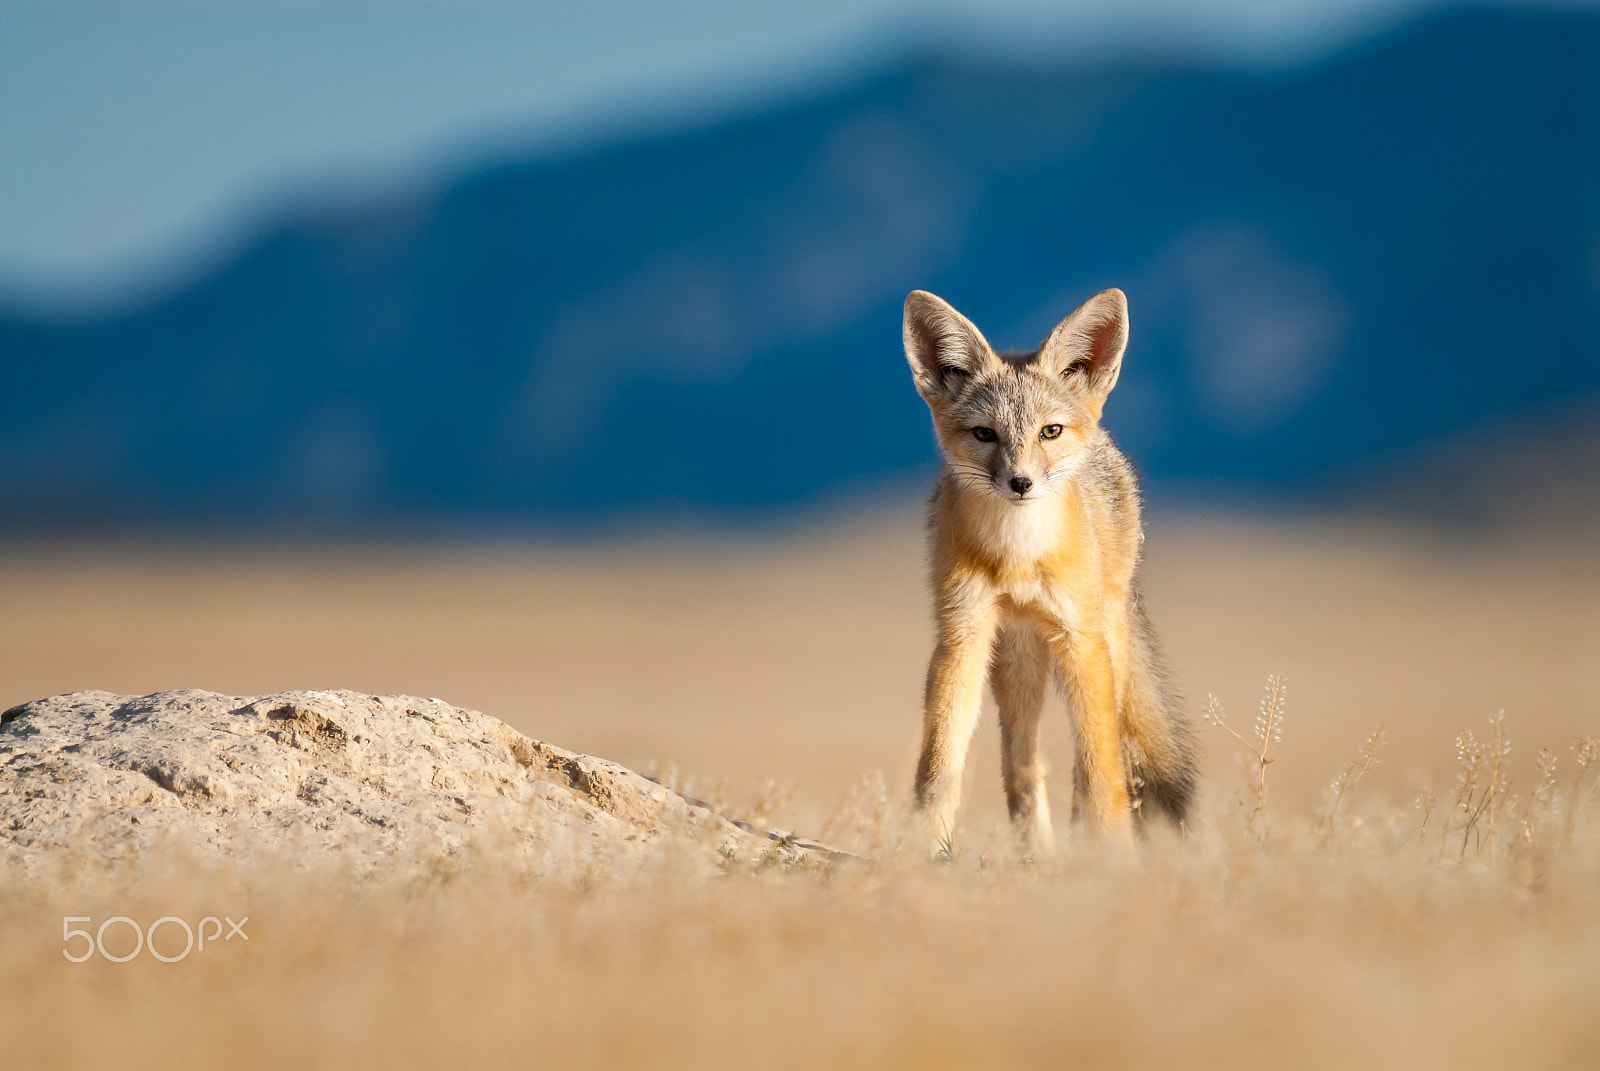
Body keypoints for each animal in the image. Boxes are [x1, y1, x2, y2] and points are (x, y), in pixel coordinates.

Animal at [901, 287, 1196, 857]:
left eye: (1049, 432)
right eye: (984, 434)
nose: (1021, 483)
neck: (1017, 557)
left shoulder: (1080, 639)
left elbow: (1101, 768)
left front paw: (1112, 854)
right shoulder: (962, 633)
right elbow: (940, 761)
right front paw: (920, 845)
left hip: (1105, 643)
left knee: (1101, 757)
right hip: (1015, 665)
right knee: (1022, 763)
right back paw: (1035, 854)